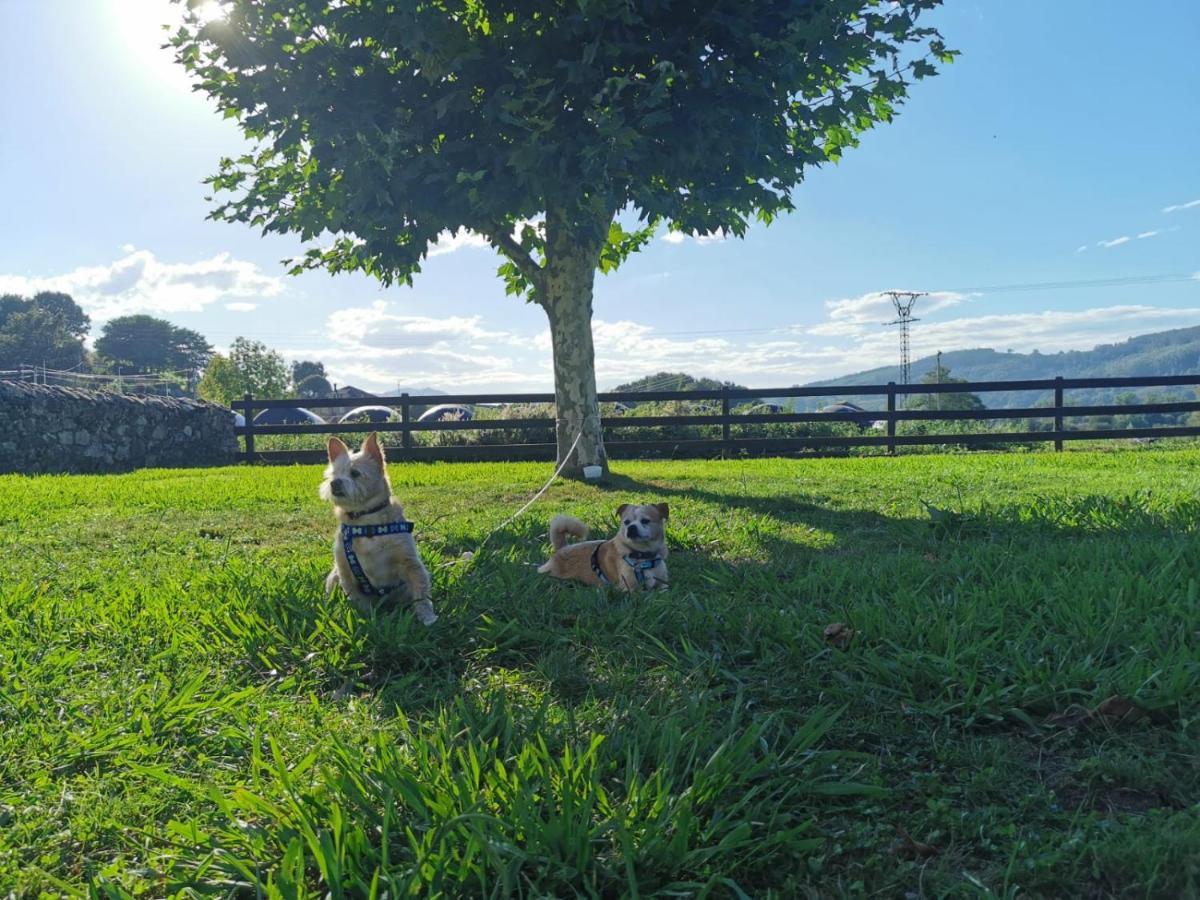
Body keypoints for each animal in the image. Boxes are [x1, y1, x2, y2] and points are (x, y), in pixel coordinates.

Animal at [321, 436, 439, 628]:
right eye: (332, 474)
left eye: (355, 473)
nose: (334, 483)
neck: (366, 523)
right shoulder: (346, 571)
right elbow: (357, 599)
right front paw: (368, 618)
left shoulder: (411, 564)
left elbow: (420, 593)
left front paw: (426, 616)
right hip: (334, 577)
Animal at [540, 508, 672, 592]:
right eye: (626, 522)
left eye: (645, 521)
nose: (631, 527)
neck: (644, 556)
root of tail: (563, 548)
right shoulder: (629, 589)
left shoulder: (663, 584)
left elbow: (663, 590)